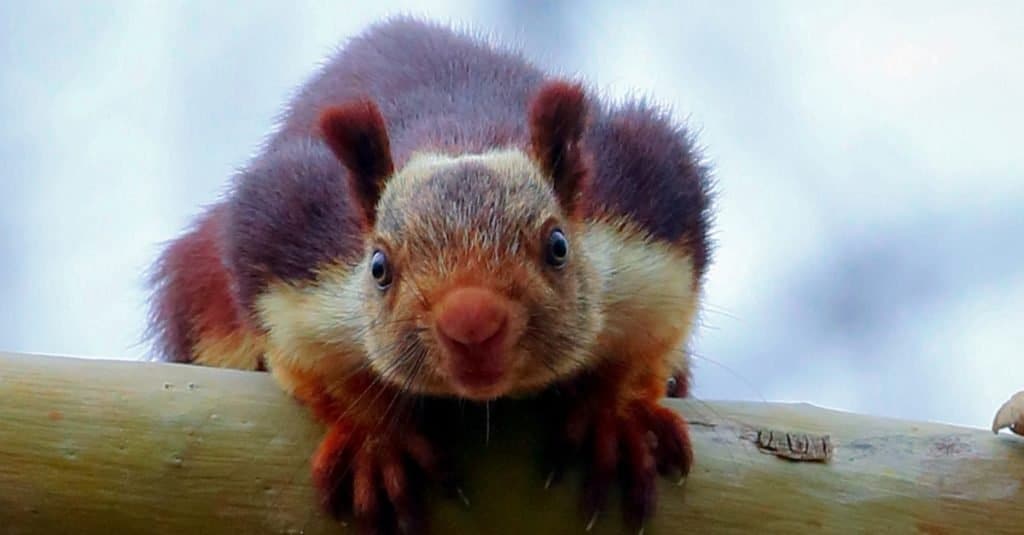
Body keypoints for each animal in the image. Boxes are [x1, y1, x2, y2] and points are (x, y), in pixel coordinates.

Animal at [147, 16, 713, 535]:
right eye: (378, 267)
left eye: (558, 245)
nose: (473, 323)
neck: (458, 137)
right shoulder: (288, 245)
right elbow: (307, 360)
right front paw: (378, 438)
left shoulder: (650, 214)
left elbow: (654, 335)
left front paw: (612, 417)